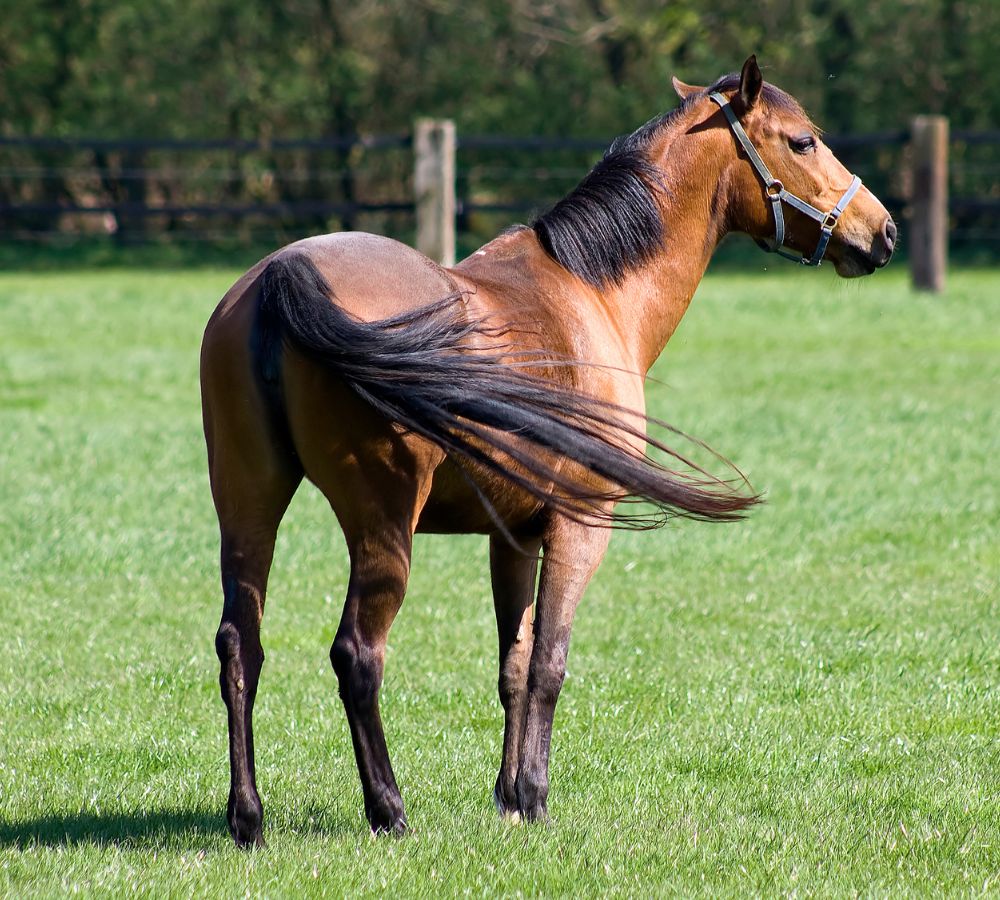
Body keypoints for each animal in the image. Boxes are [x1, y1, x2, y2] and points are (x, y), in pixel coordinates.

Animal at [200, 56, 895, 846]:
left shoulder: (514, 537)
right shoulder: (578, 529)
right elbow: (550, 664)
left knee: (241, 646)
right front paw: (533, 796)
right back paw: (388, 809)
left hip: (249, 505)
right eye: (803, 141)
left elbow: (513, 664)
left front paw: (506, 795)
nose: (882, 231)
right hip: (382, 528)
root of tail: (282, 276)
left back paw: (248, 817)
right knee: (357, 655)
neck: (592, 291)